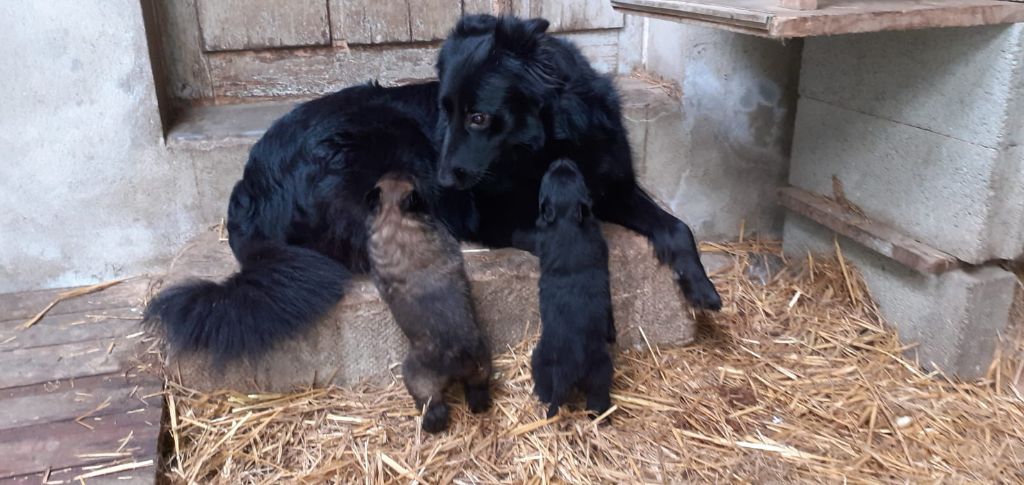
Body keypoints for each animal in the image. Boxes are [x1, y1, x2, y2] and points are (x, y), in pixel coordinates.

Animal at [146, 14, 720, 364]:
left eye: (478, 116)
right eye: (443, 111)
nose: (443, 181)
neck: (551, 143)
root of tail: (249, 190)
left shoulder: (614, 185)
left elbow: (678, 227)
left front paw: (701, 287)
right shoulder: (496, 218)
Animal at [368, 173, 495, 431]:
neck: (396, 214)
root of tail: (459, 356)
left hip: (418, 379)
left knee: (435, 408)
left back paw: (429, 425)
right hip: (481, 366)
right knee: (477, 390)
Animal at [532, 160, 610, 419]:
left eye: (546, 176)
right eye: (579, 176)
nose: (562, 160)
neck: (567, 221)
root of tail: (567, 370)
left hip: (538, 358)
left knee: (544, 387)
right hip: (601, 369)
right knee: (598, 397)